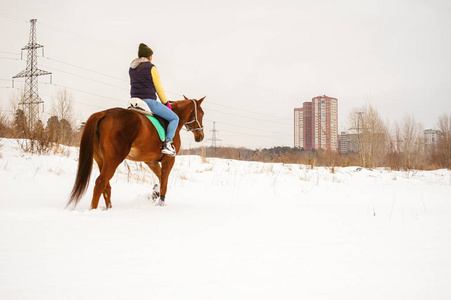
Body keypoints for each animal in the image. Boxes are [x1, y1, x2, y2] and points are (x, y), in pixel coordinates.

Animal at [68, 96, 206, 209]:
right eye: (202, 113)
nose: (200, 136)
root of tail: (104, 113)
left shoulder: (150, 161)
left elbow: (160, 177)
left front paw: (155, 193)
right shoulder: (169, 159)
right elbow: (165, 181)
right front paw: (160, 201)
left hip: (101, 160)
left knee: (106, 185)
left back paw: (109, 208)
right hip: (113, 160)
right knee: (101, 182)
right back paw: (94, 210)